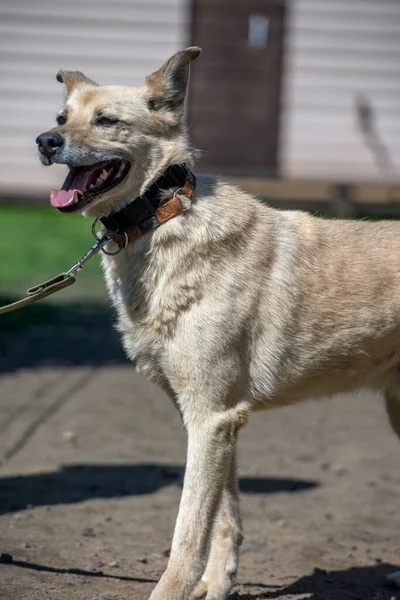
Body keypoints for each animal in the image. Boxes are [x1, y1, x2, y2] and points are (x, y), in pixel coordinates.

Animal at [36, 48, 400, 600]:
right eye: (61, 118)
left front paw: (172, 592)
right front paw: (214, 585)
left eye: (107, 121)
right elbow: (223, 516)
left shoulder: (210, 418)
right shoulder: (214, 418)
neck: (162, 218)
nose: (45, 141)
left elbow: (187, 531)